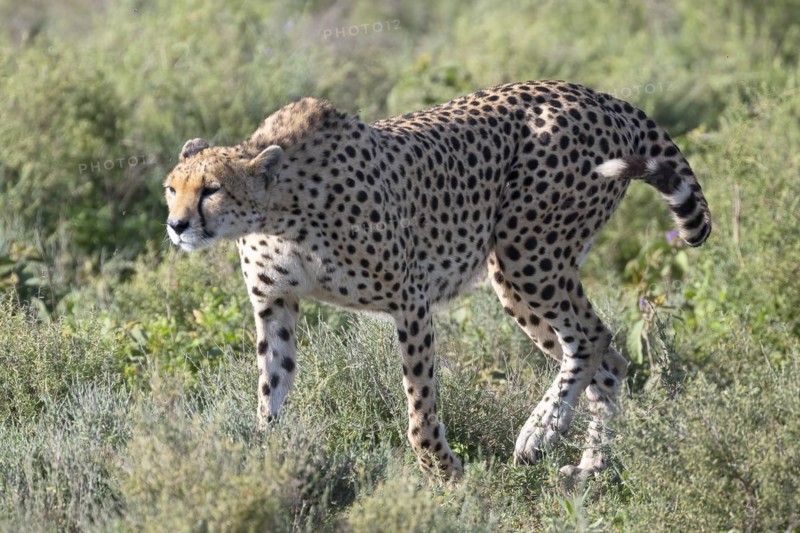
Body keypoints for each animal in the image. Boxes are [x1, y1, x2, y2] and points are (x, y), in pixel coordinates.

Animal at [163, 80, 711, 481]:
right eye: (172, 188)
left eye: (211, 190)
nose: (176, 225)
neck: (279, 213)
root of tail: (597, 95)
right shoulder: (275, 305)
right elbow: (270, 391)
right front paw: (265, 457)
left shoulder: (410, 299)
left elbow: (420, 404)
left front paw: (444, 472)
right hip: (516, 279)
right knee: (610, 361)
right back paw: (590, 468)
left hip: (527, 253)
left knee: (592, 338)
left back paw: (539, 432)